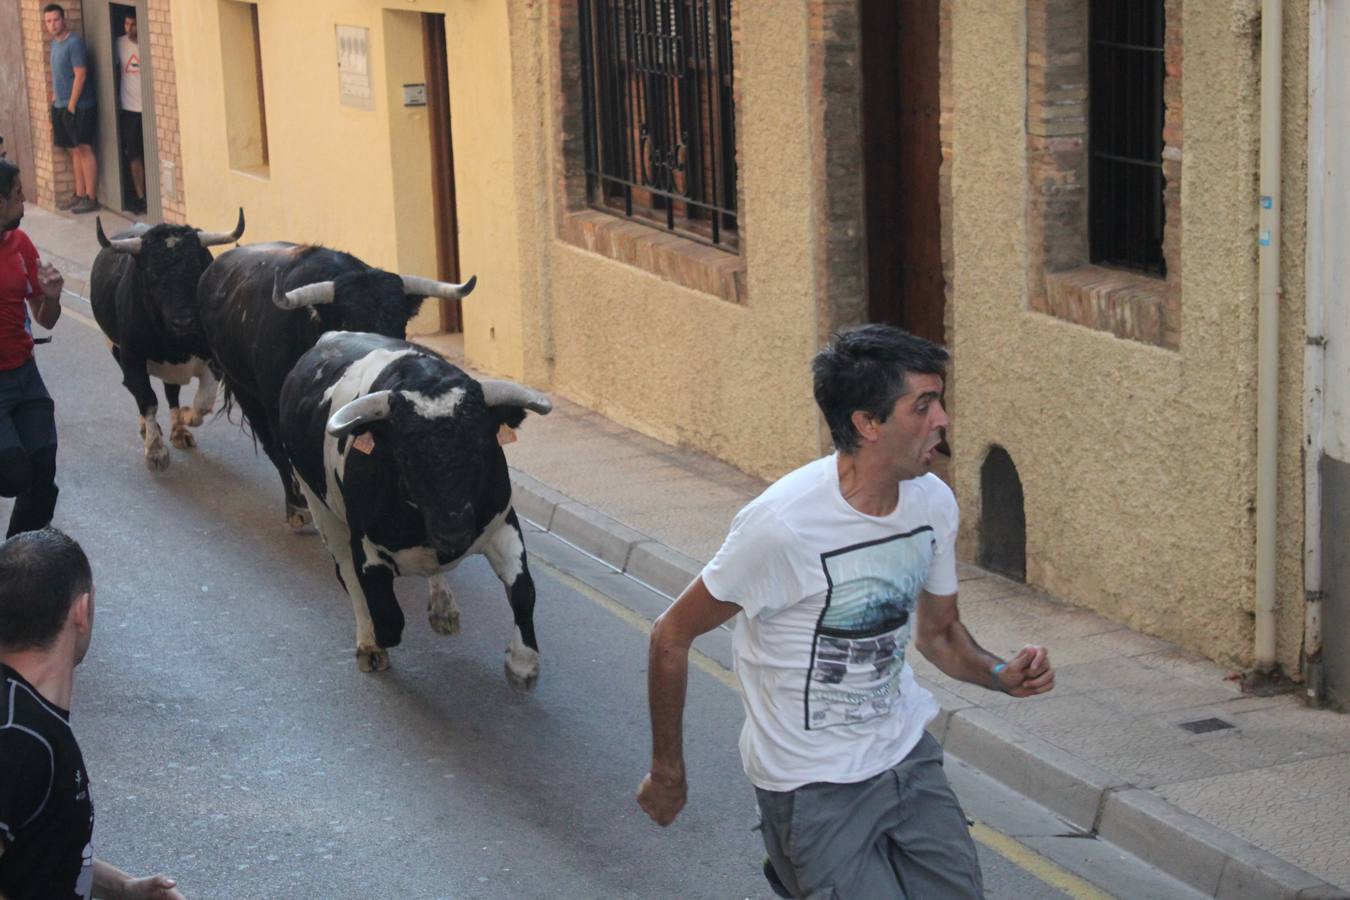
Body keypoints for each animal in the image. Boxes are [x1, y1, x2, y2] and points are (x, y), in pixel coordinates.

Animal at [88, 211, 247, 474]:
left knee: (172, 392)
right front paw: (155, 451)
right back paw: (148, 429)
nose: (183, 321)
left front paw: (187, 417)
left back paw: (179, 430)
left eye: (195, 268)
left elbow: (204, 401)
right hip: (116, 350)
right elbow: (147, 400)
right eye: (152, 275)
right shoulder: (131, 359)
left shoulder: (213, 360)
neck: (176, 344)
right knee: (142, 394)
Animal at [195, 242, 475, 531]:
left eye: (401, 322)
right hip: (243, 389)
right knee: (272, 446)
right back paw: (296, 507)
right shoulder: (276, 404)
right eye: (348, 323)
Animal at [276, 333, 550, 690]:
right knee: (348, 577)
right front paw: (377, 639)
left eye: (482, 447)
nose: (453, 529)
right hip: (320, 509)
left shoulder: (503, 524)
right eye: (404, 455)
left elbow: (523, 591)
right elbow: (386, 615)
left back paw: (443, 608)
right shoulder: (366, 549)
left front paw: (522, 664)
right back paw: (369, 644)